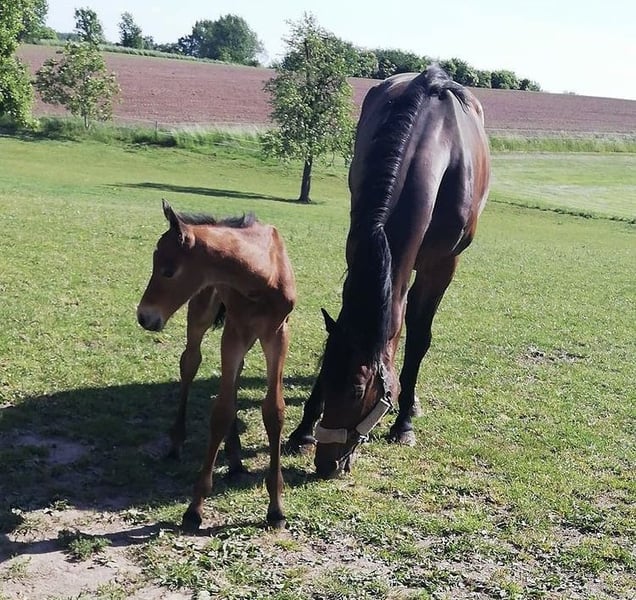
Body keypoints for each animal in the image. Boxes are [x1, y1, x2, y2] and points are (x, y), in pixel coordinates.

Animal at [137, 200, 296, 530]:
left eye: (168, 270)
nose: (144, 316)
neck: (262, 276)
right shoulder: (234, 331)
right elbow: (220, 412)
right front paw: (194, 508)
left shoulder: (278, 334)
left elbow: (273, 411)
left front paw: (276, 507)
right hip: (202, 310)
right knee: (190, 363)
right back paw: (177, 442)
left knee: (234, 379)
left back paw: (235, 458)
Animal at [287, 65, 490, 478]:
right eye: (324, 373)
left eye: (356, 390)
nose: (326, 464)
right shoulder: (359, 253)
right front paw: (302, 431)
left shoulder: (441, 267)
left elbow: (419, 338)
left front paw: (404, 423)